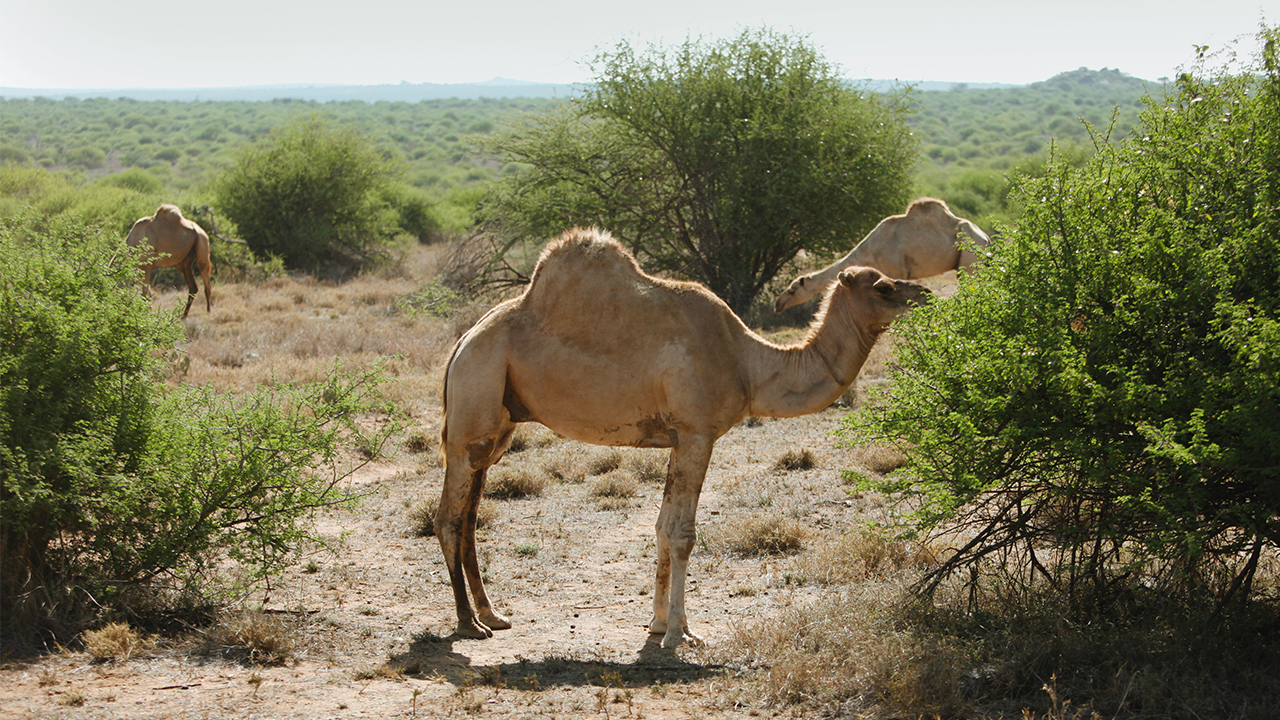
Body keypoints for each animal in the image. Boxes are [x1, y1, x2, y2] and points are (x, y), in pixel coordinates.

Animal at [432, 225, 931, 645]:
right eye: (884, 287)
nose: (924, 294)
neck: (748, 364)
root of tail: (461, 343)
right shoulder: (697, 433)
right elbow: (682, 534)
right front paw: (679, 634)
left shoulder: (678, 438)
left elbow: (660, 527)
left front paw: (660, 625)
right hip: (472, 406)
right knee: (449, 519)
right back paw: (468, 624)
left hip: (497, 427)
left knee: (471, 517)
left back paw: (492, 613)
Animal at [768, 194, 988, 310]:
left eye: (792, 290)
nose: (778, 304)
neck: (868, 251)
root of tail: (986, 238)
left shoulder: (896, 271)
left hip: (969, 260)